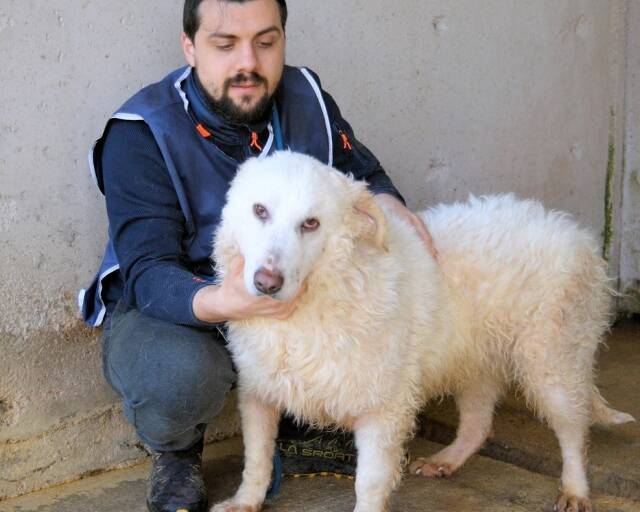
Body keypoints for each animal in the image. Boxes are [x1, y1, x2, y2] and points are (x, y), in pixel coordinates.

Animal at [210, 151, 633, 512]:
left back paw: (575, 489)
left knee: (574, 432)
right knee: (479, 424)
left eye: (310, 223)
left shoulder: (383, 407)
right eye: (260, 211)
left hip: (552, 364)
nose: (266, 282)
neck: (326, 290)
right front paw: (245, 501)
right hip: (474, 359)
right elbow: (256, 460)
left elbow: (369, 482)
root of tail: (577, 236)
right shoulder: (258, 391)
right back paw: (448, 460)